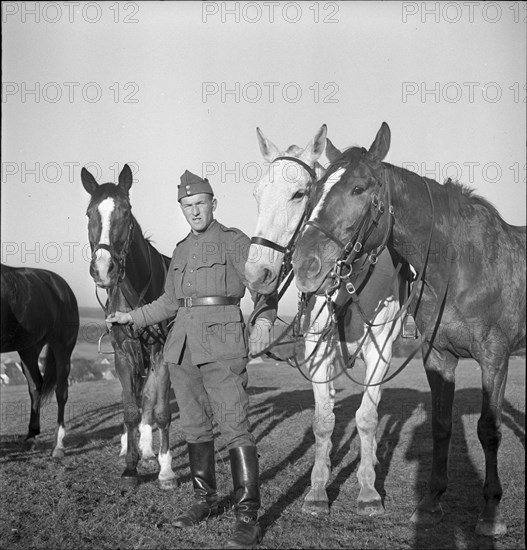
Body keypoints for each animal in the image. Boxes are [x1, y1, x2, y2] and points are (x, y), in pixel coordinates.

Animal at [0, 266, 79, 460]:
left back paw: (58, 445)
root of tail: (62, 286)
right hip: (29, 350)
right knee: (36, 387)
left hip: (62, 349)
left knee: (61, 392)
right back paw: (31, 436)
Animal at [80, 165, 175, 492]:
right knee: (134, 399)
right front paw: (130, 467)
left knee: (149, 399)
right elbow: (130, 409)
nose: (103, 269)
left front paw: (166, 470)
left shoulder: (161, 354)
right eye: (89, 213)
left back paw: (148, 451)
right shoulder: (123, 354)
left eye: (126, 211)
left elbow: (159, 411)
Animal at [246, 126, 404, 516]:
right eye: (258, 194)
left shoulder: (380, 350)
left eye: (299, 193)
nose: (256, 274)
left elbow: (368, 417)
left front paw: (368, 490)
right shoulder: (317, 347)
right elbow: (323, 420)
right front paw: (317, 488)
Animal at [292, 122, 527, 540]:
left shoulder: (494, 359)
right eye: (314, 190)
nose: (304, 264)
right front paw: (431, 505)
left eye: (359, 188)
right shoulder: (439, 358)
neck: (461, 266)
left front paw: (490, 513)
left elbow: (489, 430)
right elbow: (440, 427)